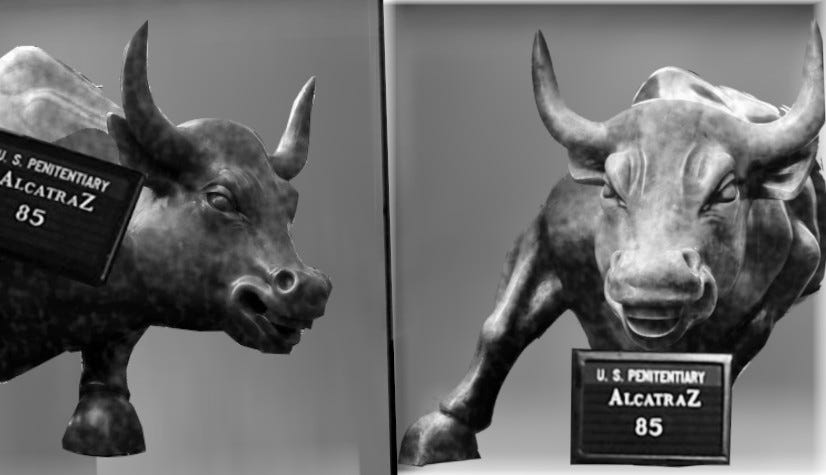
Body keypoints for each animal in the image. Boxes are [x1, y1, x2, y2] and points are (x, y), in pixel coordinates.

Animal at [398, 24, 816, 466]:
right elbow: (501, 326)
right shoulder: (546, 235)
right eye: (612, 191)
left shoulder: (800, 261)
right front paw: (447, 425)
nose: (654, 280)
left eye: (726, 193)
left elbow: (745, 336)